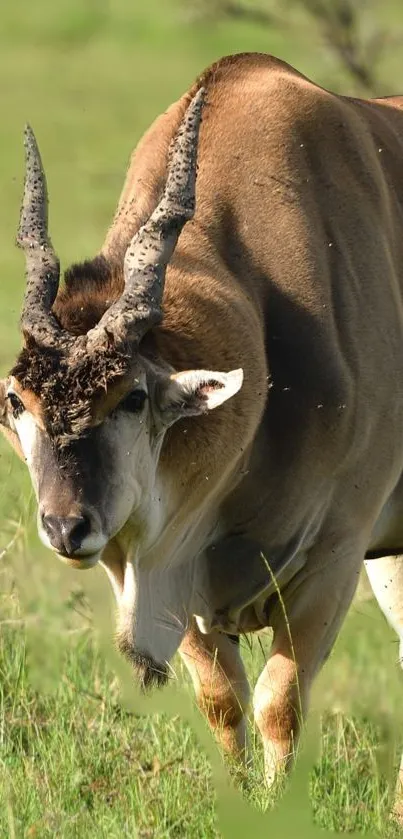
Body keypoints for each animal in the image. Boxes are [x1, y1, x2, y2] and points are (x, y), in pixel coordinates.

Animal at [0, 52, 403, 800]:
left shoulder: (334, 558)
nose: (67, 527)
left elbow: (279, 701)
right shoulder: (167, 568)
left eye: (132, 397)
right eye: (18, 401)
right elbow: (221, 697)